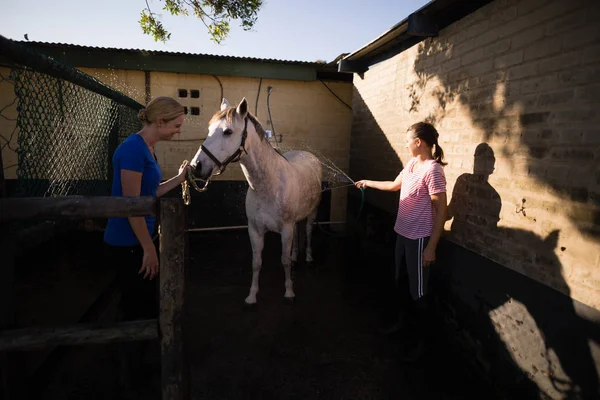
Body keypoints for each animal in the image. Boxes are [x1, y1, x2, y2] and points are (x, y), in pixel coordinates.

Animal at [192, 97, 324, 304]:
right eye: (209, 129)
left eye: (228, 131)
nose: (196, 166)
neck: (268, 187)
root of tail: (310, 157)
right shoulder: (255, 230)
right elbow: (256, 263)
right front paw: (252, 296)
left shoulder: (286, 230)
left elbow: (284, 261)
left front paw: (289, 292)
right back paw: (296, 256)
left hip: (312, 213)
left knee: (309, 232)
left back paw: (309, 257)